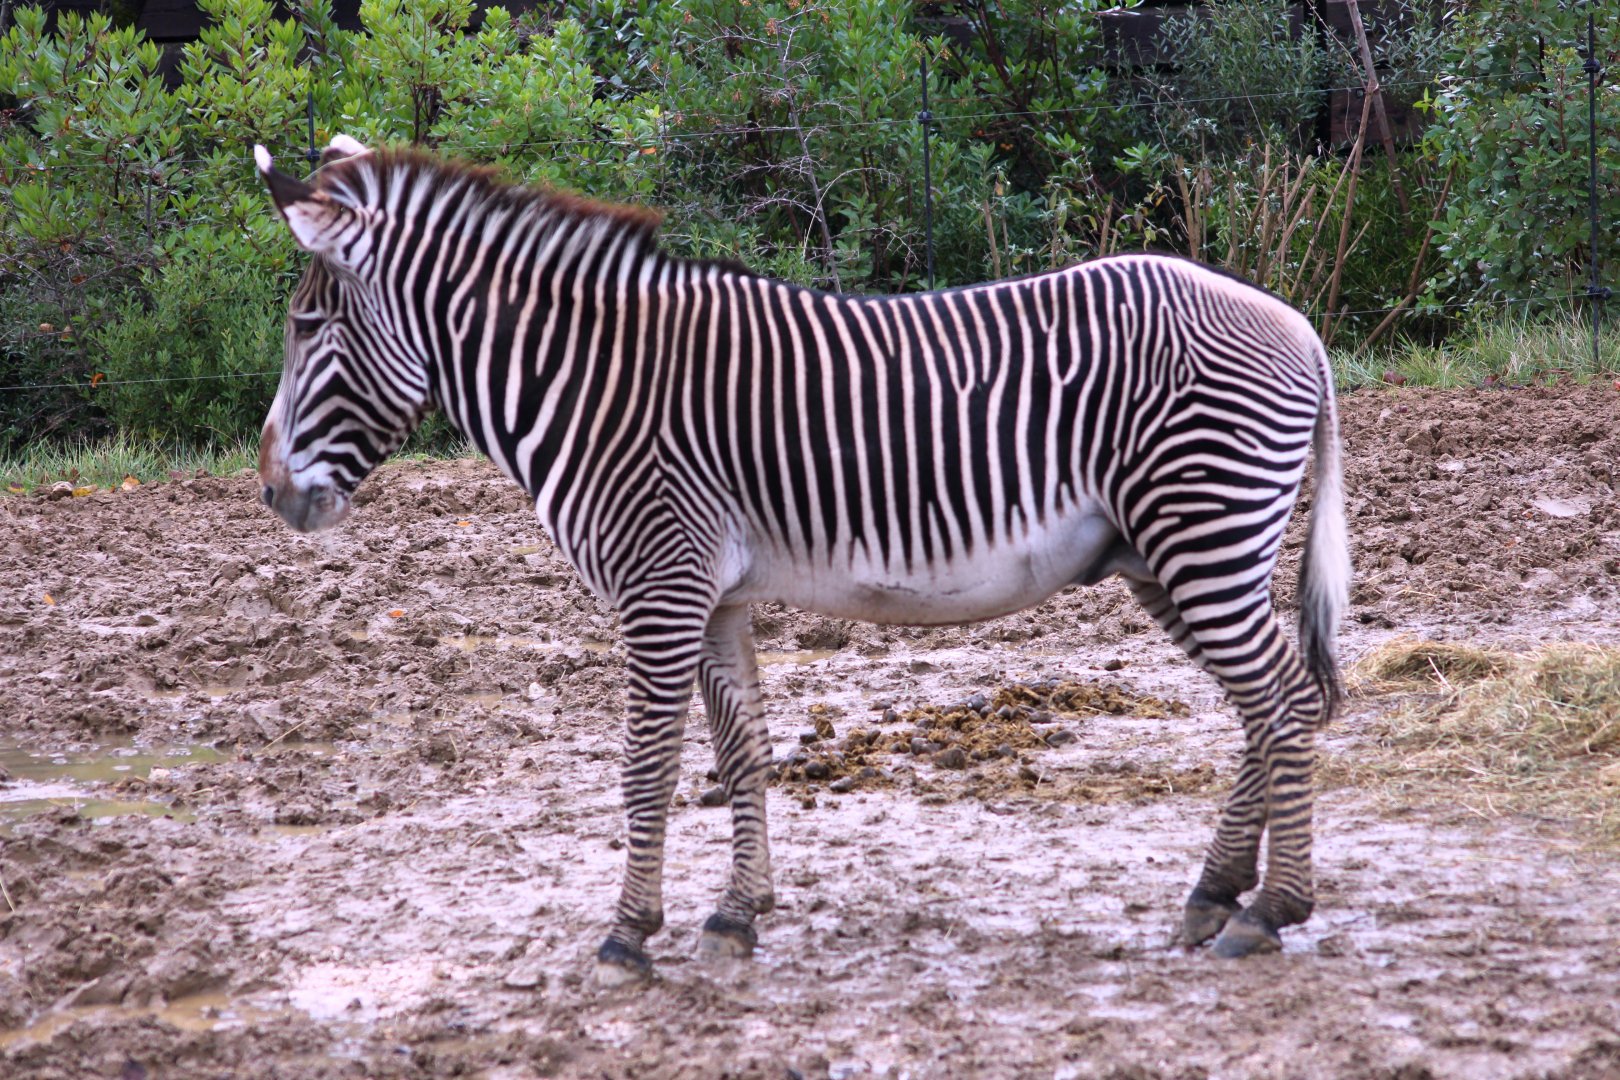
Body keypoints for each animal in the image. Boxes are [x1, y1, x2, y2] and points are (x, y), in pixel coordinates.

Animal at [253, 136, 1349, 983]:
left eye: (309, 325)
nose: (267, 494)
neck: (591, 386)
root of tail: (1297, 324)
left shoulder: (658, 585)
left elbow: (646, 767)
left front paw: (626, 937)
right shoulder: (713, 596)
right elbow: (739, 750)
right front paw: (737, 915)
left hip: (1202, 530)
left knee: (1284, 700)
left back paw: (1270, 911)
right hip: (1162, 554)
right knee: (1263, 709)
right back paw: (1215, 894)